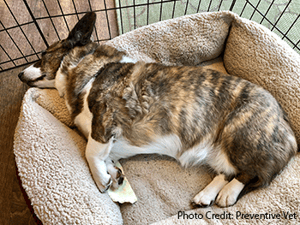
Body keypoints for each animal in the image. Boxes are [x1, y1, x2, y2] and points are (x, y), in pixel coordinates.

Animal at [18, 12, 298, 207]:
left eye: (43, 55)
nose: (19, 74)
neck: (90, 69)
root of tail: (287, 128)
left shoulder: (104, 120)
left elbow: (91, 152)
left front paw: (101, 178)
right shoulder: (107, 138)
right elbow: (105, 155)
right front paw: (113, 174)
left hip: (238, 134)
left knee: (252, 174)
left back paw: (228, 194)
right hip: (220, 150)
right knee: (227, 172)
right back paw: (206, 195)